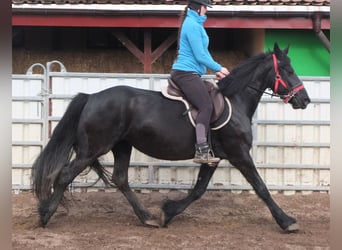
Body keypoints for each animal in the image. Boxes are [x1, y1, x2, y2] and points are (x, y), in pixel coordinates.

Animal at [32, 43, 310, 232]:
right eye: (287, 70)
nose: (304, 100)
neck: (235, 101)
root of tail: (91, 97)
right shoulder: (238, 153)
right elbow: (261, 187)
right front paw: (287, 221)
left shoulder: (214, 157)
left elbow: (198, 190)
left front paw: (168, 211)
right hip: (93, 149)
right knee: (65, 175)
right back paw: (45, 214)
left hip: (122, 146)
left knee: (120, 179)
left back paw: (148, 218)